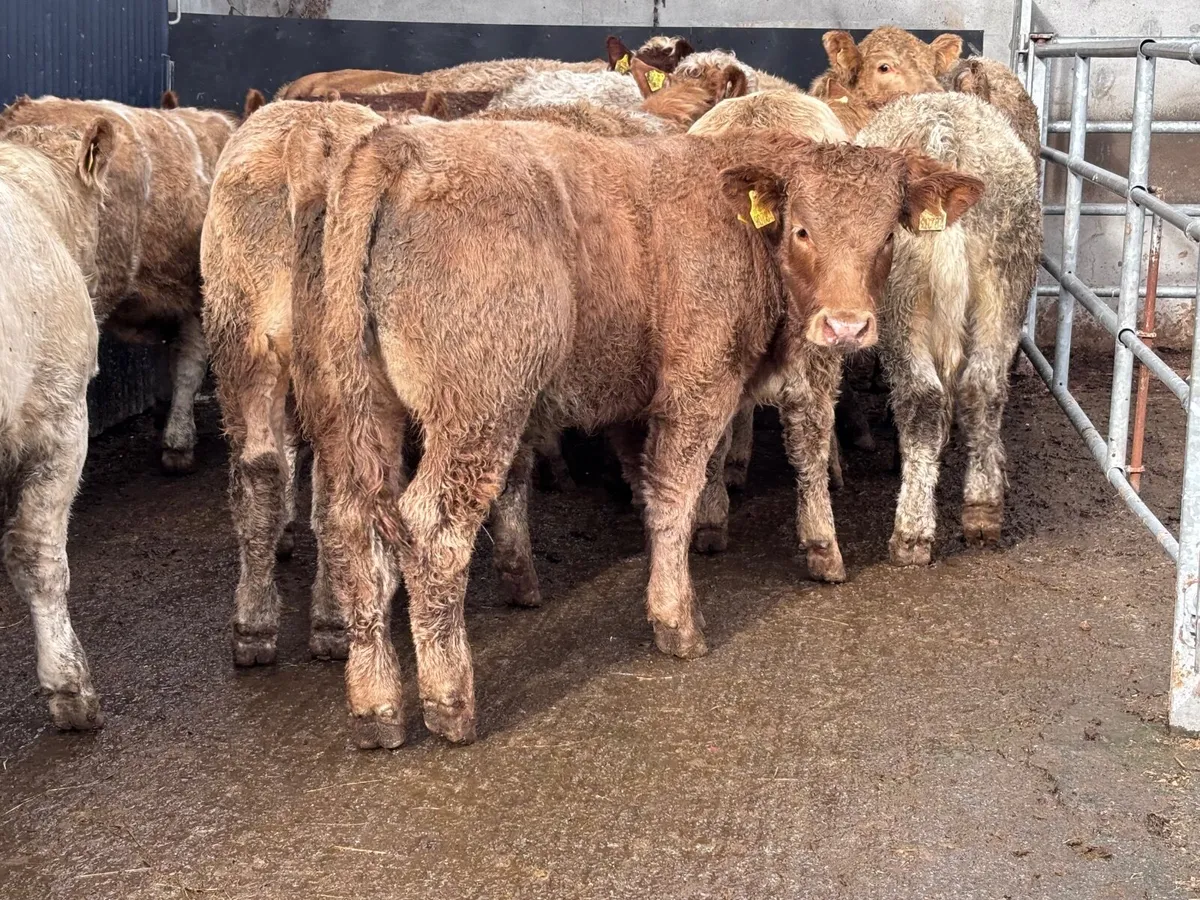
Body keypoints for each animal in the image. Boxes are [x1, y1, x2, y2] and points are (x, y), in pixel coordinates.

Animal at [287, 117, 980, 748]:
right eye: (803, 230)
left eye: (886, 235)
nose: (847, 325)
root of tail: (400, 143)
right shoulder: (699, 385)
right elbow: (677, 491)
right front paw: (677, 619)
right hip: (478, 412)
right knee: (434, 532)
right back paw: (450, 702)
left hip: (350, 416)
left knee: (351, 530)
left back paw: (376, 706)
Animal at [857, 92, 1041, 565]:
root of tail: (945, 135)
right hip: (1005, 284)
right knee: (983, 387)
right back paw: (983, 509)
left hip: (900, 300)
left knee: (922, 398)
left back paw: (911, 534)